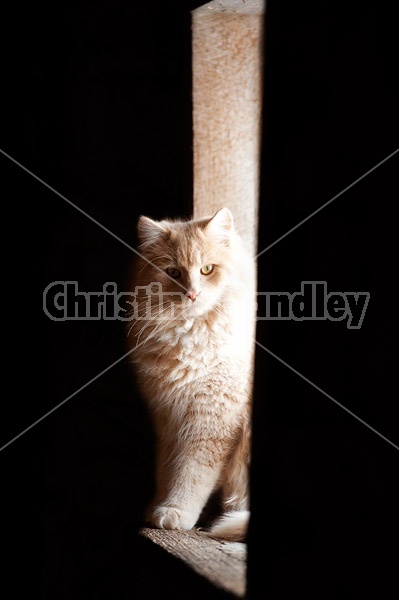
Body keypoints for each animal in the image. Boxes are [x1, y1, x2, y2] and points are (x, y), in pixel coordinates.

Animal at [127, 209, 256, 540]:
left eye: (207, 269)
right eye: (173, 272)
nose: (192, 294)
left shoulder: (211, 421)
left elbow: (192, 475)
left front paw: (175, 511)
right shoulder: (167, 418)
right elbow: (166, 470)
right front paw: (157, 506)